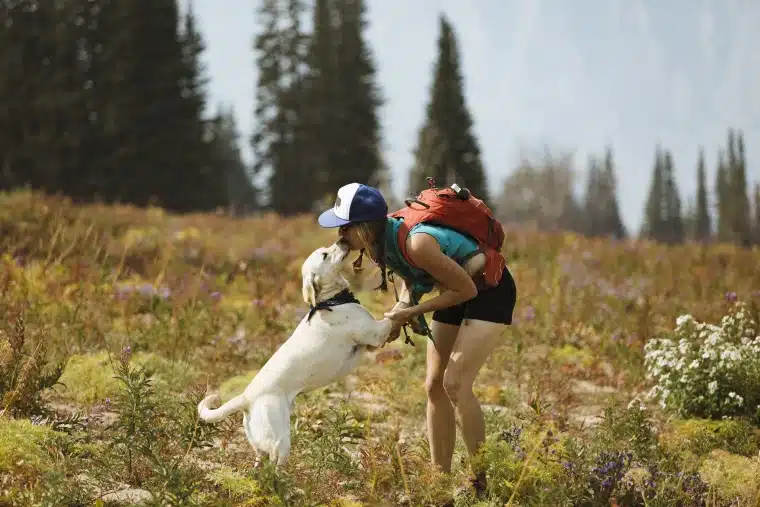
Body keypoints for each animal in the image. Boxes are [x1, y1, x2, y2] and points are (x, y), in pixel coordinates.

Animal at [196, 242, 392, 468]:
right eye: (325, 255)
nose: (342, 241)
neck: (331, 302)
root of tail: (246, 398)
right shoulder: (378, 333)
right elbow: (397, 312)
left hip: (259, 444)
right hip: (281, 443)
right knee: (273, 467)